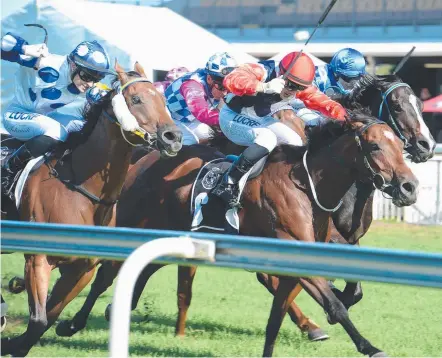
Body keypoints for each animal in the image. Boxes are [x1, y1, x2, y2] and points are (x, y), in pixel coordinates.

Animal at [0, 60, 183, 356]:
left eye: (163, 99)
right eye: (136, 99)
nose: (173, 137)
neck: (82, 189)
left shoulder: (81, 268)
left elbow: (48, 317)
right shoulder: (38, 259)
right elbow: (39, 319)